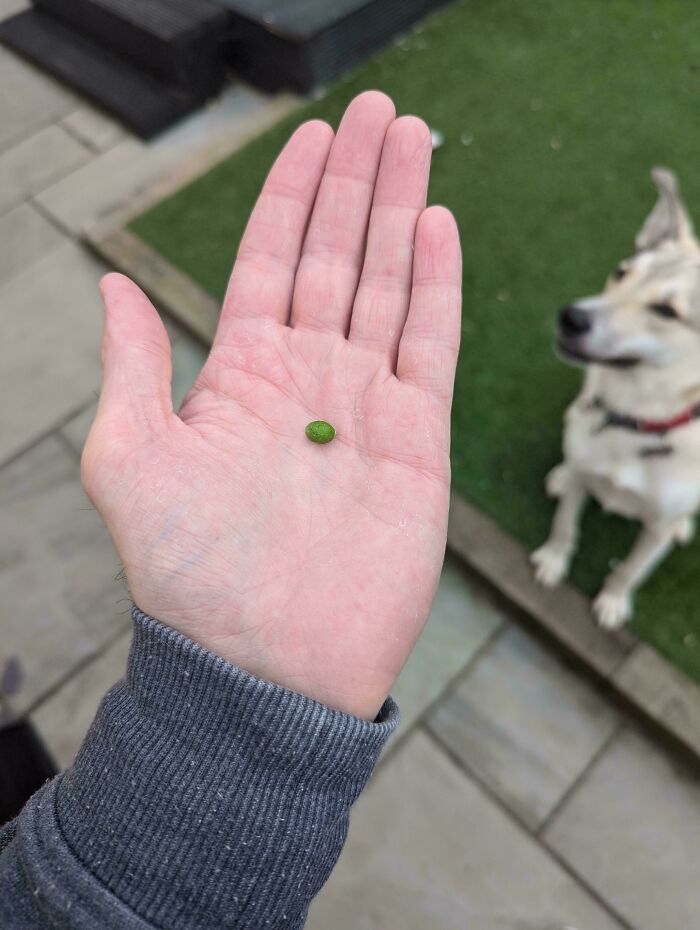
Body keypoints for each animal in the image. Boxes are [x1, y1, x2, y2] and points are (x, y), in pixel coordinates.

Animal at [532, 168, 700, 632]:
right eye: (621, 272)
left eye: (667, 311)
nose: (570, 317)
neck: (637, 418)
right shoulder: (584, 472)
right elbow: (565, 525)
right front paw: (553, 561)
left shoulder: (656, 529)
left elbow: (631, 569)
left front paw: (612, 602)